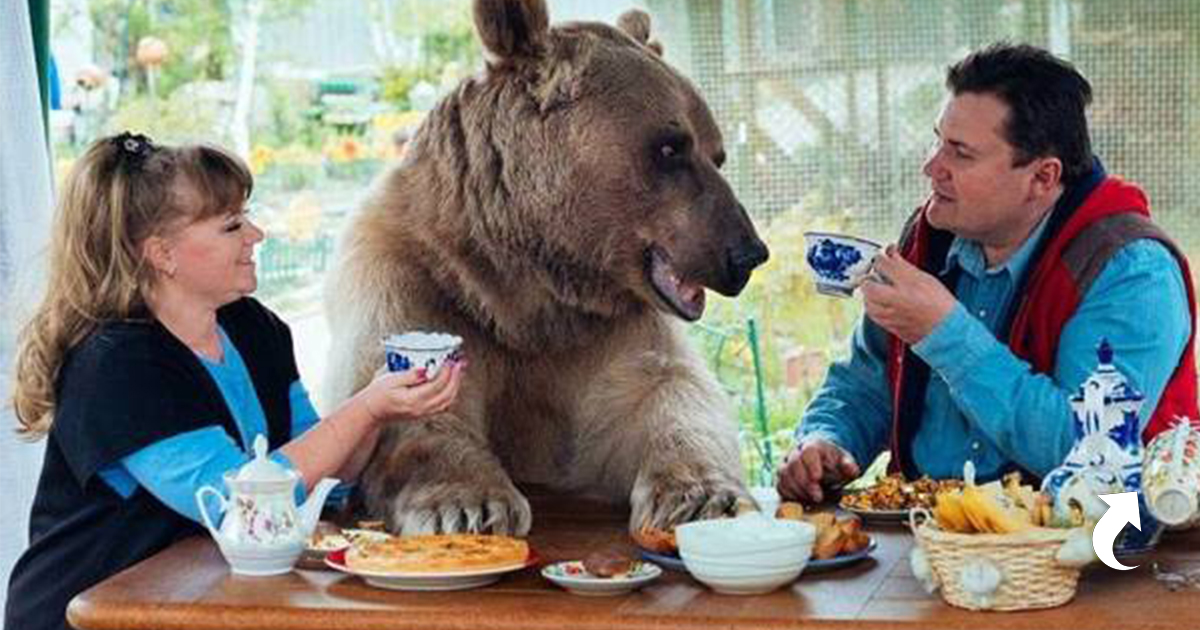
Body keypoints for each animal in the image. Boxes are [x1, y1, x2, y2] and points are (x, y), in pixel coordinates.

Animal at [321, 0, 768, 535]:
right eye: (669, 147)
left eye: (716, 153)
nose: (747, 253)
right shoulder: (412, 277)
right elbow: (406, 398)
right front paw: (469, 505)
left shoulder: (606, 330)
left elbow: (666, 392)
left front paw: (702, 497)